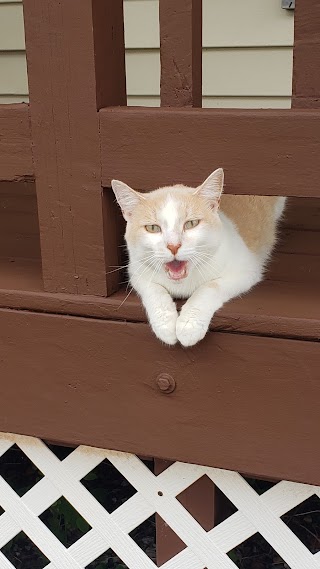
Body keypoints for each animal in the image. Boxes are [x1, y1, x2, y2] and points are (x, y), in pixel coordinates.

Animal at [112, 169, 284, 346]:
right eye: (152, 228)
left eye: (191, 224)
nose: (173, 246)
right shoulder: (136, 271)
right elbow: (154, 289)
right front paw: (165, 324)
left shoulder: (245, 271)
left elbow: (210, 287)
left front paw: (189, 325)